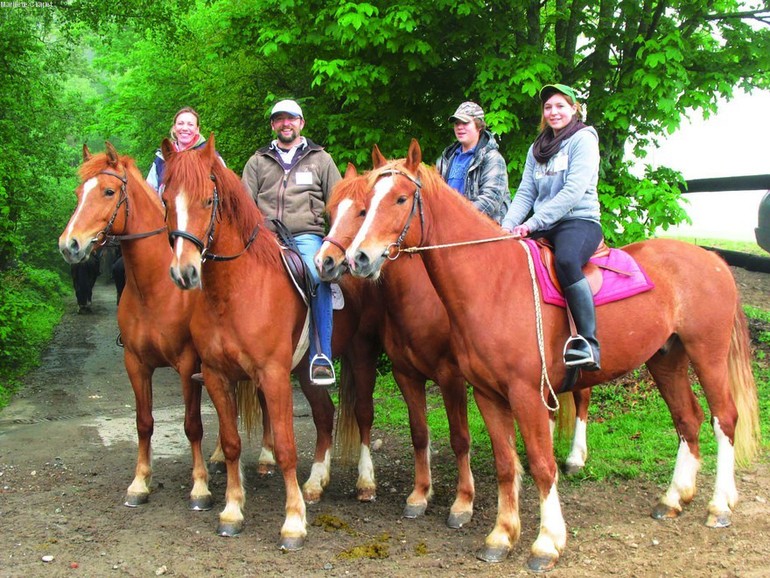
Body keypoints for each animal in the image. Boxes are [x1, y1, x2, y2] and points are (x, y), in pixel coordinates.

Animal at [344, 140, 760, 572]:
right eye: (366, 203)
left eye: (400, 198)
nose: (359, 258)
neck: (492, 282)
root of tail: (713, 261)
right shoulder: (487, 395)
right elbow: (506, 464)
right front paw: (501, 536)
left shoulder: (526, 395)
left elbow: (542, 466)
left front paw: (546, 543)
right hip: (666, 359)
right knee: (688, 419)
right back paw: (675, 498)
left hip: (707, 355)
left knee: (724, 419)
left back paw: (719, 506)